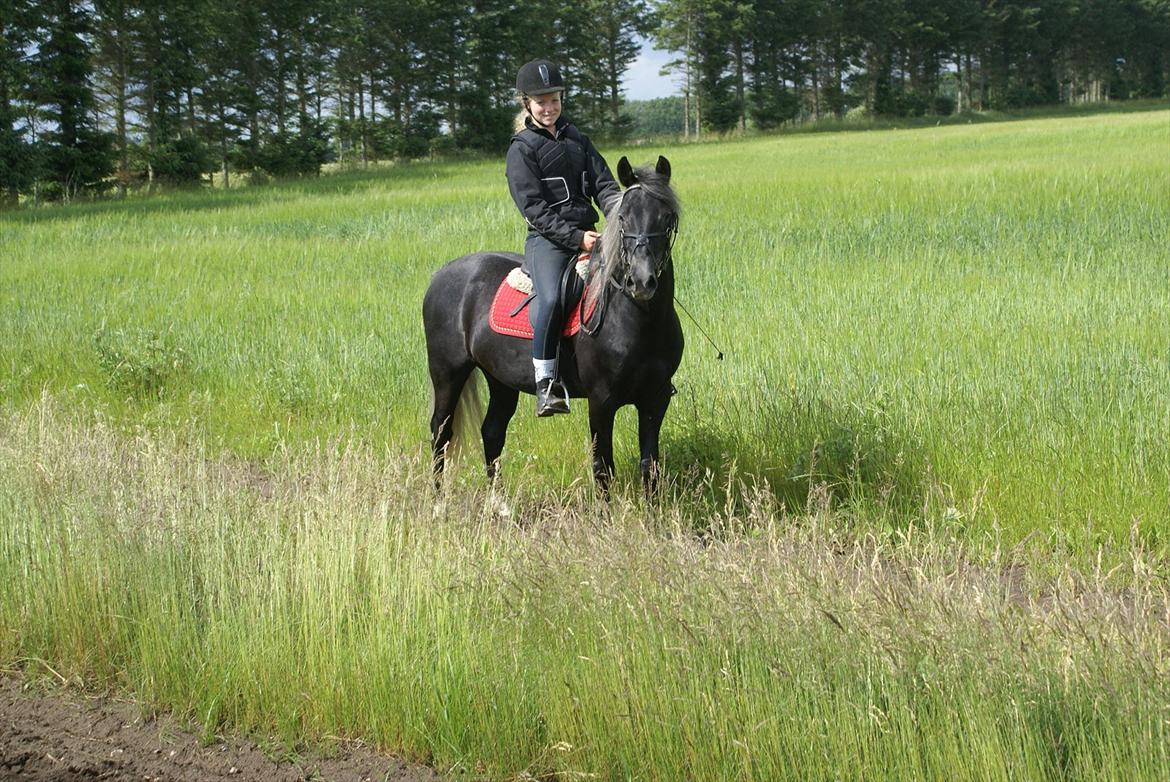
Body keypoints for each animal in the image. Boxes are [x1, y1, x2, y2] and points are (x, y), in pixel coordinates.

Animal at [422, 155, 683, 495]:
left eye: (666, 218)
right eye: (623, 218)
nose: (641, 281)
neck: (638, 321)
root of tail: (439, 277)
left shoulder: (655, 399)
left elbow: (649, 468)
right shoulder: (601, 402)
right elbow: (603, 468)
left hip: (500, 379)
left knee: (492, 432)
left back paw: (499, 502)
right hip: (447, 373)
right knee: (441, 432)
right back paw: (438, 498)